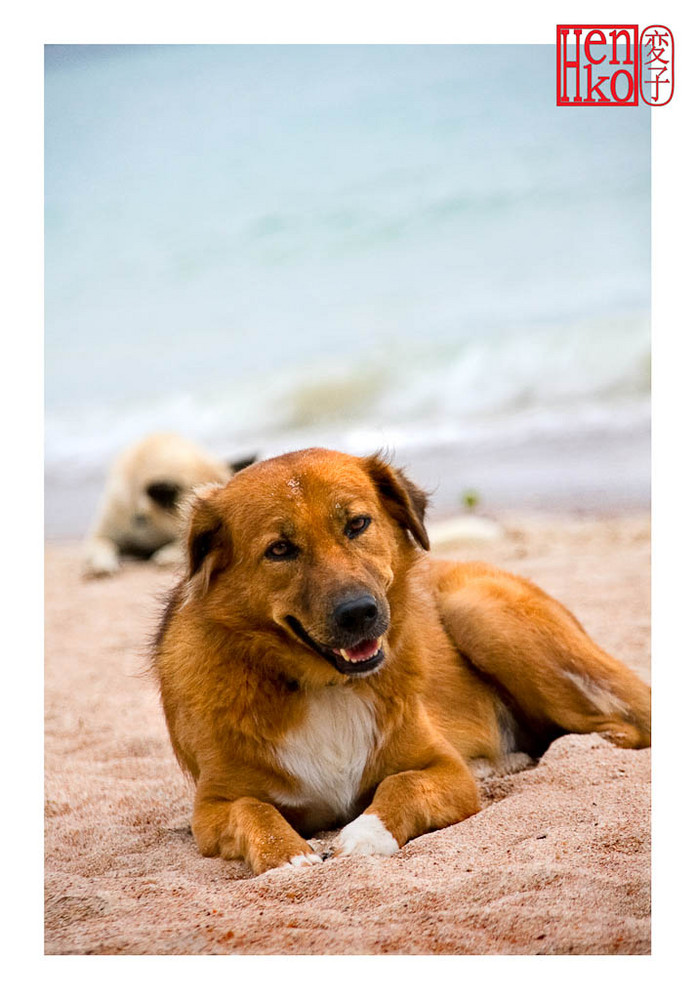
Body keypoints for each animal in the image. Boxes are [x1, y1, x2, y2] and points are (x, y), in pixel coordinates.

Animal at [154, 450, 652, 872]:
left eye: (357, 524)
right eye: (279, 549)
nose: (359, 613)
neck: (325, 685)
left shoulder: (446, 771)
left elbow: (402, 784)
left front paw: (366, 835)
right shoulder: (211, 809)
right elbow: (252, 809)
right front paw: (287, 856)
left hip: (477, 611)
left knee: (614, 727)